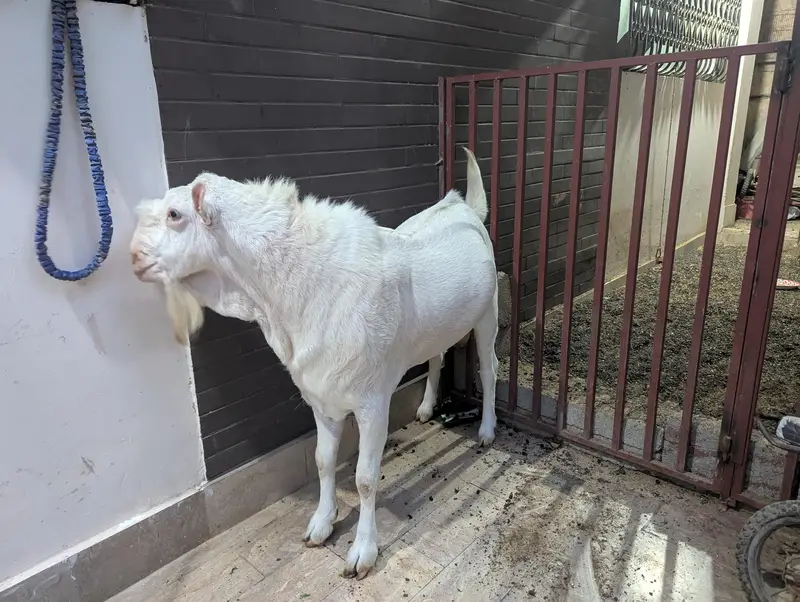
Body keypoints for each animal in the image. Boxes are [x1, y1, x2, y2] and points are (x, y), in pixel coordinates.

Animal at [130, 148, 499, 579]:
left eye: (175, 214)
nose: (134, 258)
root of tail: (462, 206)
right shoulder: (321, 395)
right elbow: (323, 461)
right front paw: (321, 524)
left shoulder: (373, 402)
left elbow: (365, 478)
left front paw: (362, 552)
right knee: (437, 354)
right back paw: (425, 408)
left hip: (487, 312)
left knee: (489, 368)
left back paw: (487, 430)